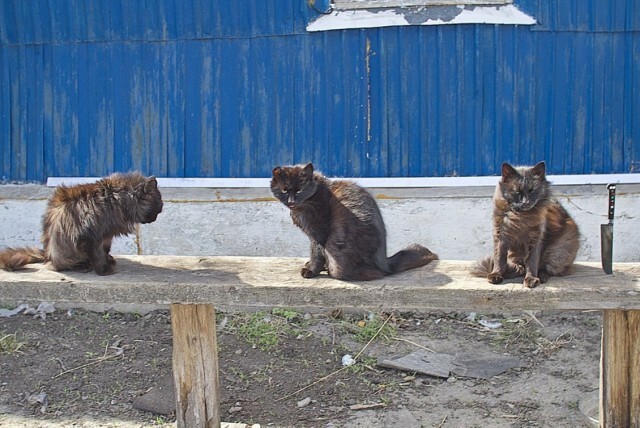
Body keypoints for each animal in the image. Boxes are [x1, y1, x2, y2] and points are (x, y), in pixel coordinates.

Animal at [0, 172, 162, 276]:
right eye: (159, 201)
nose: (161, 209)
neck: (118, 198)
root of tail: (46, 254)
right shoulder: (90, 237)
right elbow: (97, 255)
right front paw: (104, 270)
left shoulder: (106, 236)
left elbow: (104, 251)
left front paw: (108, 261)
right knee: (63, 265)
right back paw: (83, 266)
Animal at [476, 162, 580, 290]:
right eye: (517, 191)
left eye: (531, 191)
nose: (525, 202)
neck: (520, 216)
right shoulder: (500, 235)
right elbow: (499, 258)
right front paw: (496, 275)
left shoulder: (536, 238)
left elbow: (532, 262)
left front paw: (531, 279)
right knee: (519, 266)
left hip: (558, 251)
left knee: (547, 269)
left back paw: (541, 277)